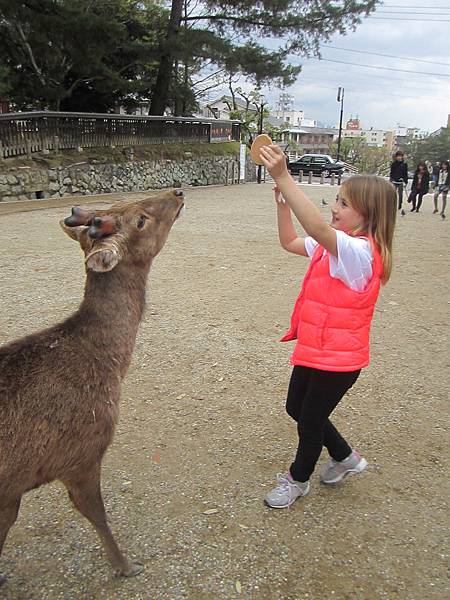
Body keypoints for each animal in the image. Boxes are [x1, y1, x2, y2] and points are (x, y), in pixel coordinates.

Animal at [0, 189, 185, 584]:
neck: (110, 367)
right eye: (141, 220)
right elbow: (95, 512)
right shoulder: (81, 453)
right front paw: (126, 565)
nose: (177, 192)